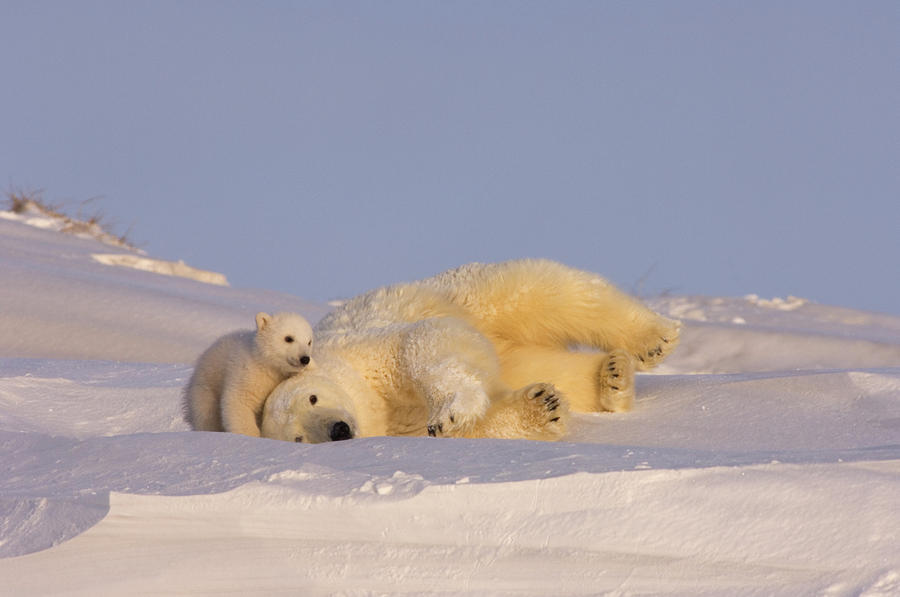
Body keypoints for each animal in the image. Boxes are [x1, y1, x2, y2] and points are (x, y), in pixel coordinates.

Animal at [181, 314, 314, 436]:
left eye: (309, 342)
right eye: (289, 338)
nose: (305, 359)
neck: (265, 363)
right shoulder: (248, 374)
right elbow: (239, 401)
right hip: (206, 389)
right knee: (207, 416)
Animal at [258, 260, 676, 442]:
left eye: (312, 398)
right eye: (298, 438)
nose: (338, 430)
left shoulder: (362, 354)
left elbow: (420, 344)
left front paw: (449, 414)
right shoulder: (397, 427)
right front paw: (543, 408)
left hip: (469, 294)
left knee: (553, 292)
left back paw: (654, 338)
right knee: (541, 364)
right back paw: (611, 376)